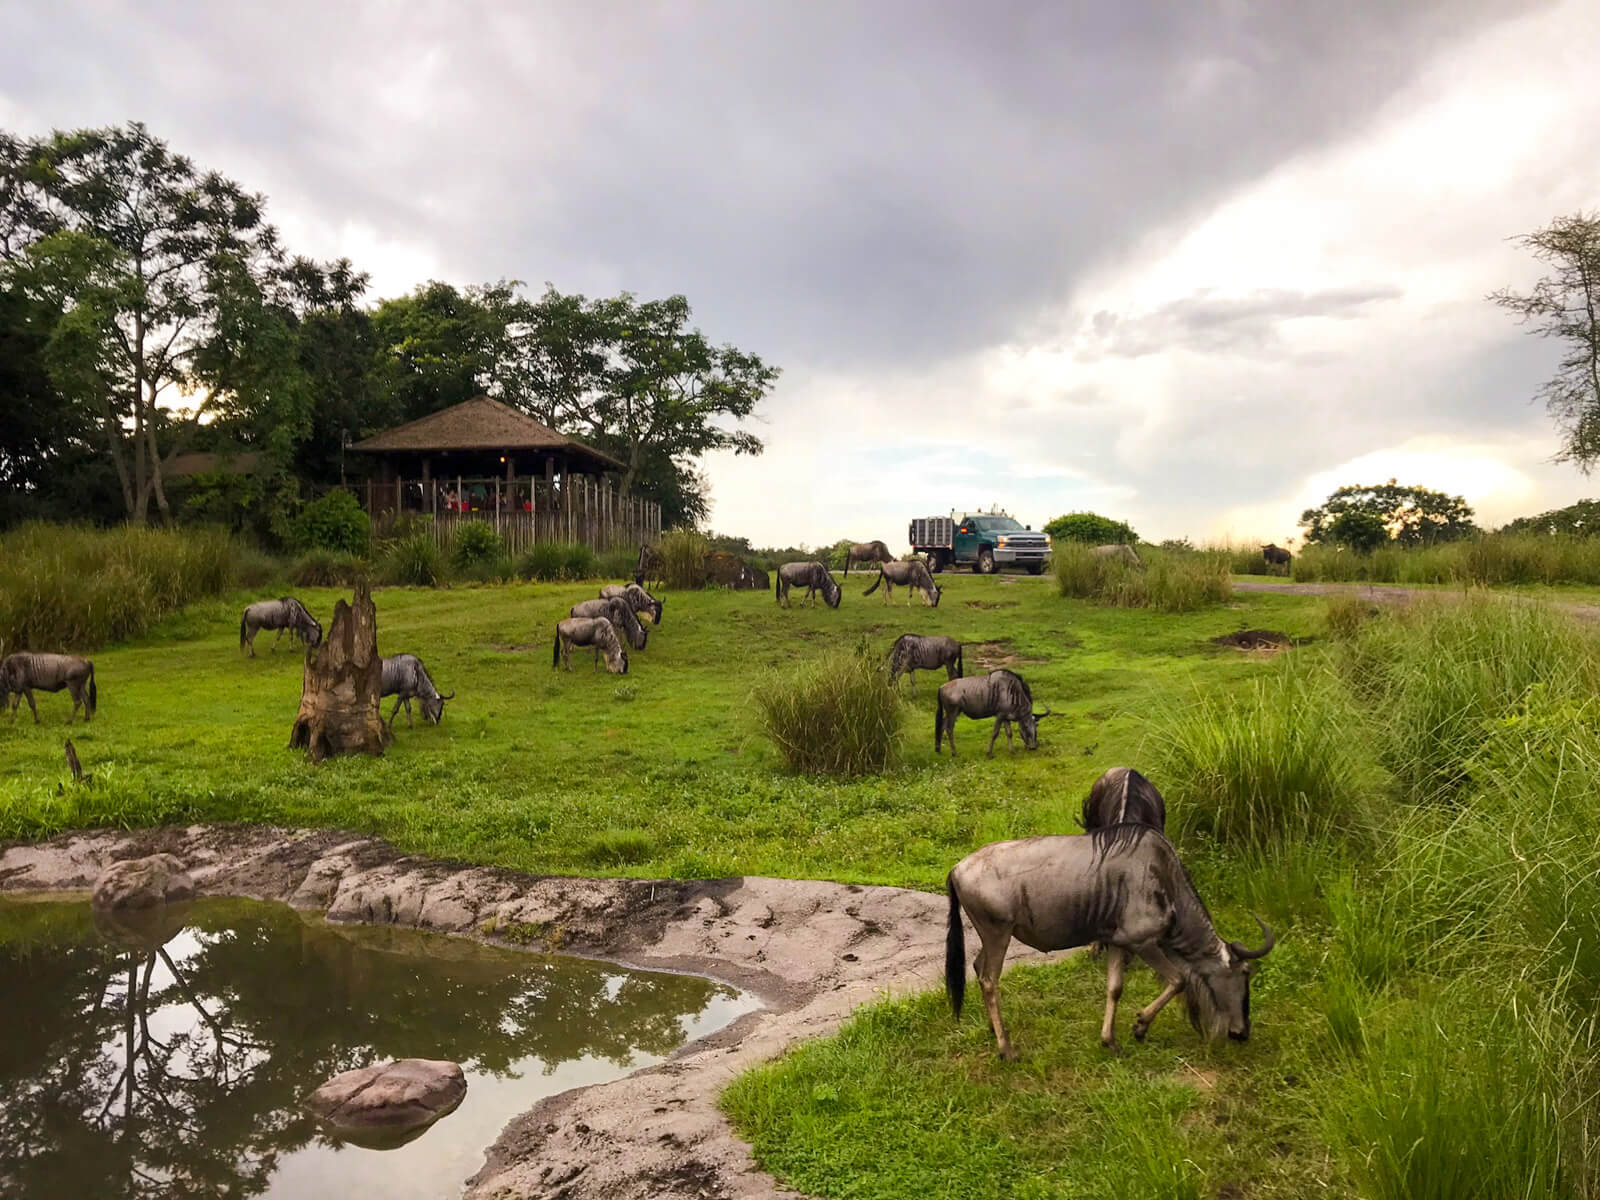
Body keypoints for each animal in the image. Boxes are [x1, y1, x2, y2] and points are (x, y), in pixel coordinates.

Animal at [947, 832, 1273, 1056]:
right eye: (1246, 973)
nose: (1243, 1033)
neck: (1163, 878)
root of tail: (957, 869)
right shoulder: (1144, 943)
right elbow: (1178, 980)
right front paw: (1140, 1026)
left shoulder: (1118, 942)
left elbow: (1115, 988)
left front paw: (1110, 1040)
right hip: (998, 933)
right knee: (989, 979)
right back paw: (1006, 1048)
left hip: (991, 937)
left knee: (977, 967)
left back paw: (994, 1029)